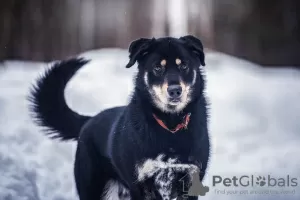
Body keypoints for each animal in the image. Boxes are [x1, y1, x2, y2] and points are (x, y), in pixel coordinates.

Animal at [29, 35, 210, 199]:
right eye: (158, 67)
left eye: (184, 65)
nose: (175, 90)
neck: (170, 126)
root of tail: (90, 120)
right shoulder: (140, 186)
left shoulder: (190, 181)